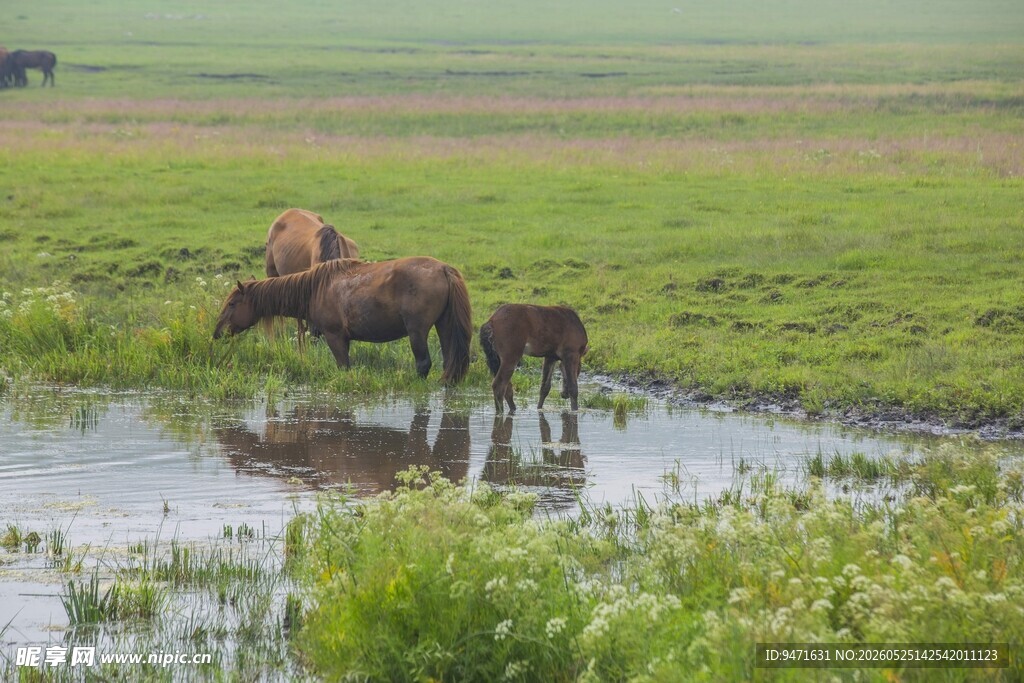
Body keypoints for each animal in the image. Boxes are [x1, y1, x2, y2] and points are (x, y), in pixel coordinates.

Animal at [214, 257, 473, 384]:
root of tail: (444, 269)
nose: (217, 333)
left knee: (423, 363)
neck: (315, 289)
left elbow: (344, 367)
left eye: (232, 304)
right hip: (444, 325)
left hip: (417, 331)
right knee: (449, 360)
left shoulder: (335, 337)